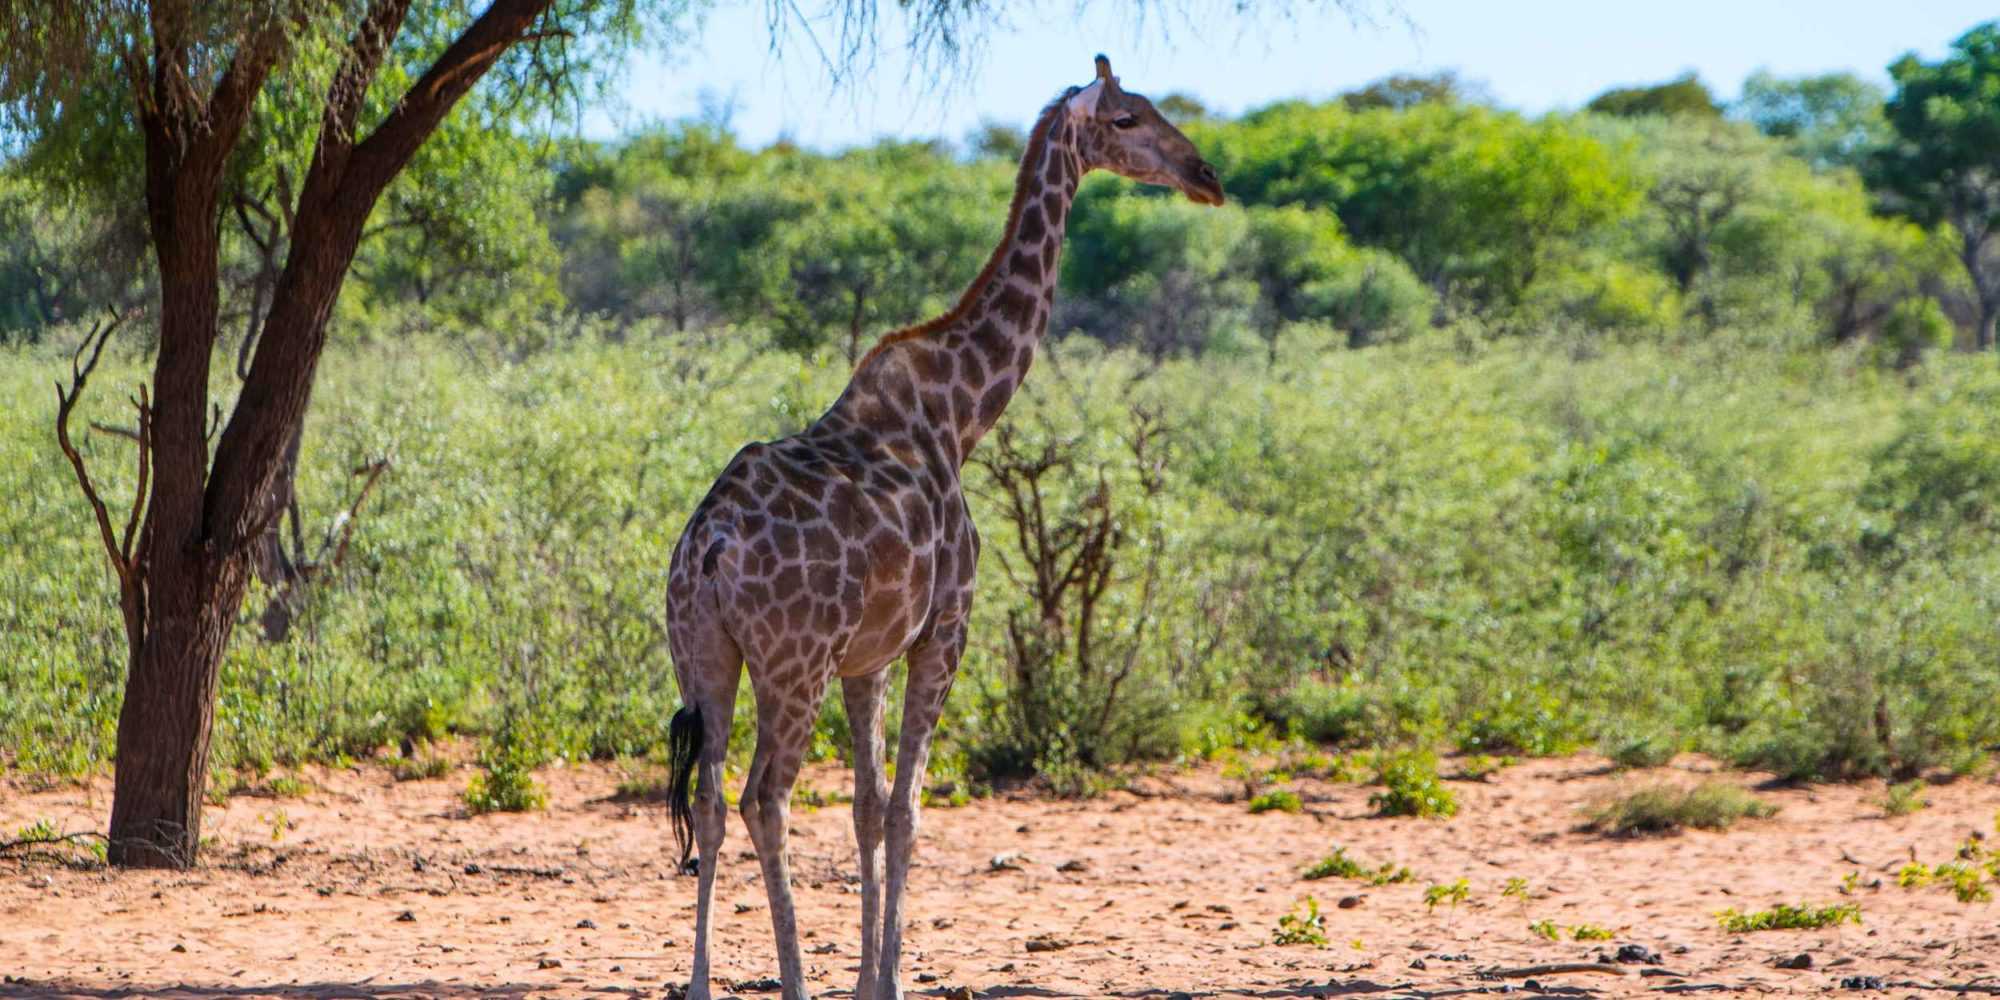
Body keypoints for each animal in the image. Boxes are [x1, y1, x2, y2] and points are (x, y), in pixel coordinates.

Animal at [664, 54, 1216, 1000]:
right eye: (1131, 119)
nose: (1206, 175)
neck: (963, 415)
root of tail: (710, 548)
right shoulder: (943, 633)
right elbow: (908, 811)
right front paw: (881, 979)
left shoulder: (870, 659)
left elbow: (867, 808)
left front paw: (866, 977)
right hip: (791, 666)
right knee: (763, 798)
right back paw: (793, 980)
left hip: (705, 654)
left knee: (706, 799)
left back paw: (701, 984)